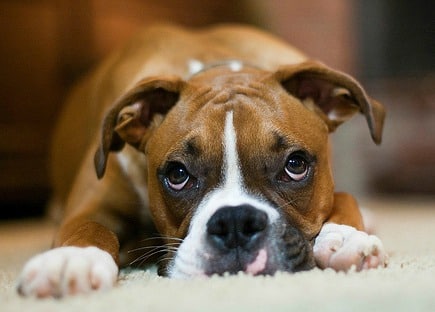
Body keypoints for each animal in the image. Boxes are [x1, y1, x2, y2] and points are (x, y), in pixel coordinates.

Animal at [18, 24, 390, 298]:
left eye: (295, 165)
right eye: (177, 174)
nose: (236, 222)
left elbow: (345, 196)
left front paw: (347, 238)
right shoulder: (90, 208)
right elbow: (89, 228)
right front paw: (72, 260)